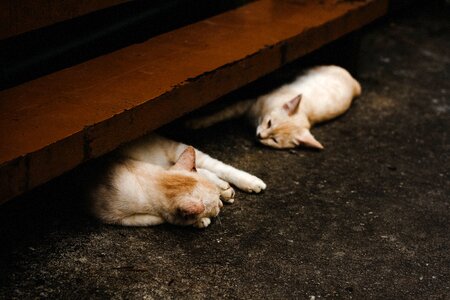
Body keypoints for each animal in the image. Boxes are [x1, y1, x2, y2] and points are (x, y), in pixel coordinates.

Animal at [89, 134, 266, 227]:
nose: (220, 205)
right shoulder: (111, 215)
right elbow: (154, 218)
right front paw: (200, 220)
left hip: (176, 151)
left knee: (214, 166)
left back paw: (251, 182)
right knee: (203, 170)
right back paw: (225, 189)